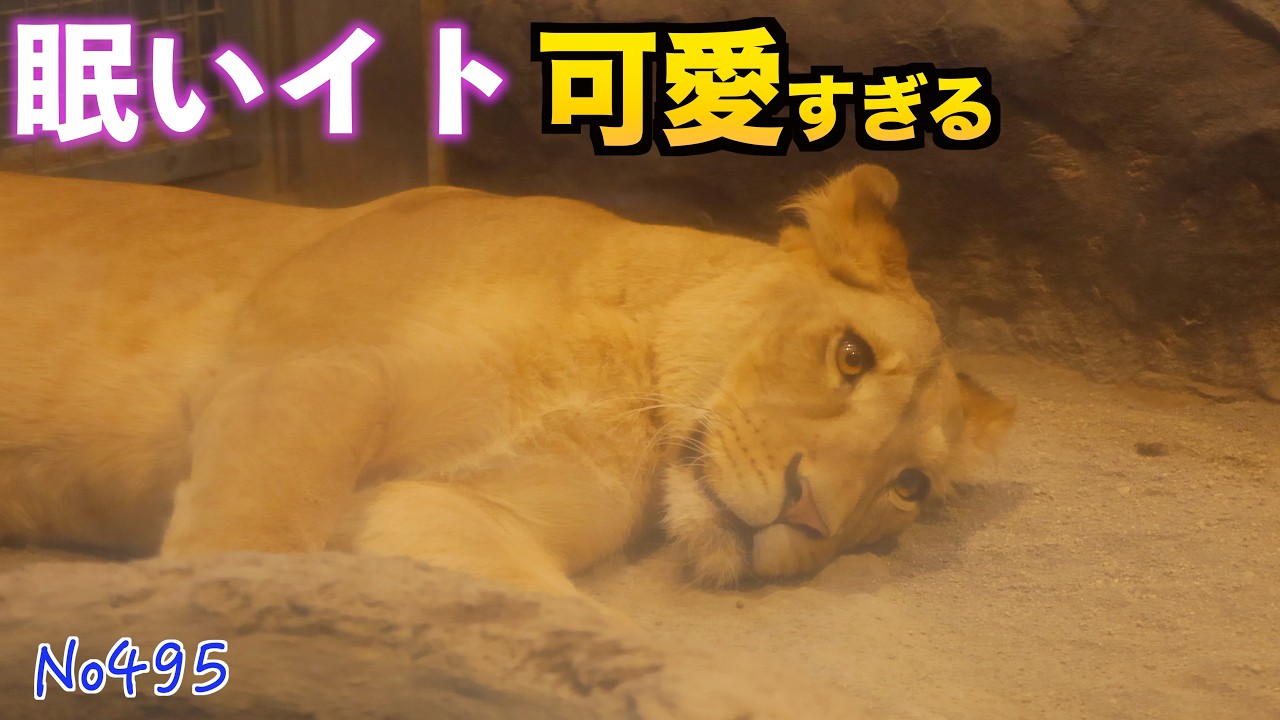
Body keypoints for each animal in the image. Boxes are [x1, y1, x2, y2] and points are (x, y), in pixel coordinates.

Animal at [0, 165, 1011, 596]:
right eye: (851, 356)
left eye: (909, 487)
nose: (807, 519)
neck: (629, 366)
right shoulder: (302, 372)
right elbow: (248, 544)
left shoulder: (438, 507)